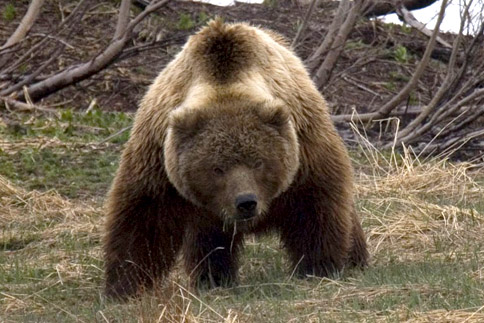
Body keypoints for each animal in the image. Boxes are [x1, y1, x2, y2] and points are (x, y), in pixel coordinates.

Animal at [104, 19, 368, 300]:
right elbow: (144, 218)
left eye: (258, 162)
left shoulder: (304, 148)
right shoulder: (159, 158)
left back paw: (356, 259)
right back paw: (213, 278)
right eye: (217, 168)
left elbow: (314, 206)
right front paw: (124, 286)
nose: (246, 202)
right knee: (209, 242)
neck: (224, 81)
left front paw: (320, 266)